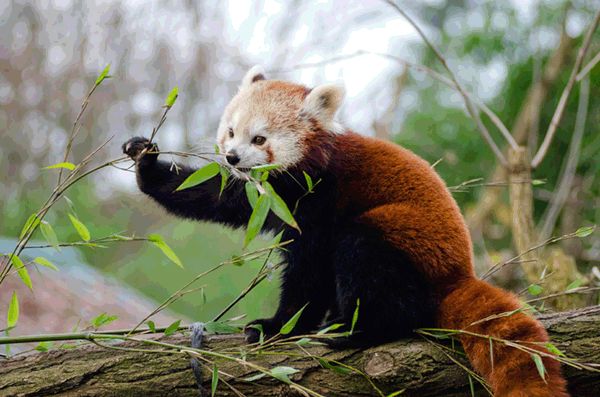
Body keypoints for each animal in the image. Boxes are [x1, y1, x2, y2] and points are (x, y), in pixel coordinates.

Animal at [123, 66, 568, 394]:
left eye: (260, 138)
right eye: (230, 132)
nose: (232, 157)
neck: (303, 171)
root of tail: (459, 273)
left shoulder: (320, 197)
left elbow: (309, 268)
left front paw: (279, 326)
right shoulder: (263, 195)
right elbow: (215, 196)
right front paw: (147, 163)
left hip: (404, 236)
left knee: (363, 255)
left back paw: (357, 330)